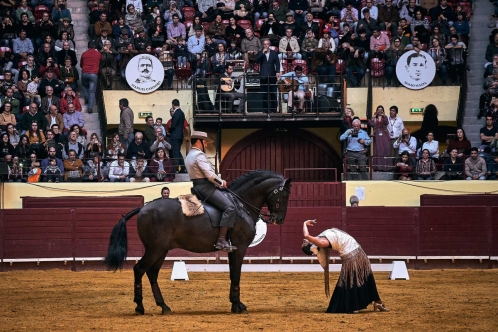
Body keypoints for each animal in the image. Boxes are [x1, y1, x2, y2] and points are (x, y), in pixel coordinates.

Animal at [105, 170, 292, 316]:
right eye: (284, 195)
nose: (280, 219)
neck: (241, 205)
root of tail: (143, 207)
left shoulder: (233, 250)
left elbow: (232, 274)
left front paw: (235, 304)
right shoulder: (240, 248)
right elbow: (236, 275)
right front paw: (238, 305)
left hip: (161, 250)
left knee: (151, 273)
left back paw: (163, 306)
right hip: (154, 249)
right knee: (139, 269)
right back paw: (139, 306)